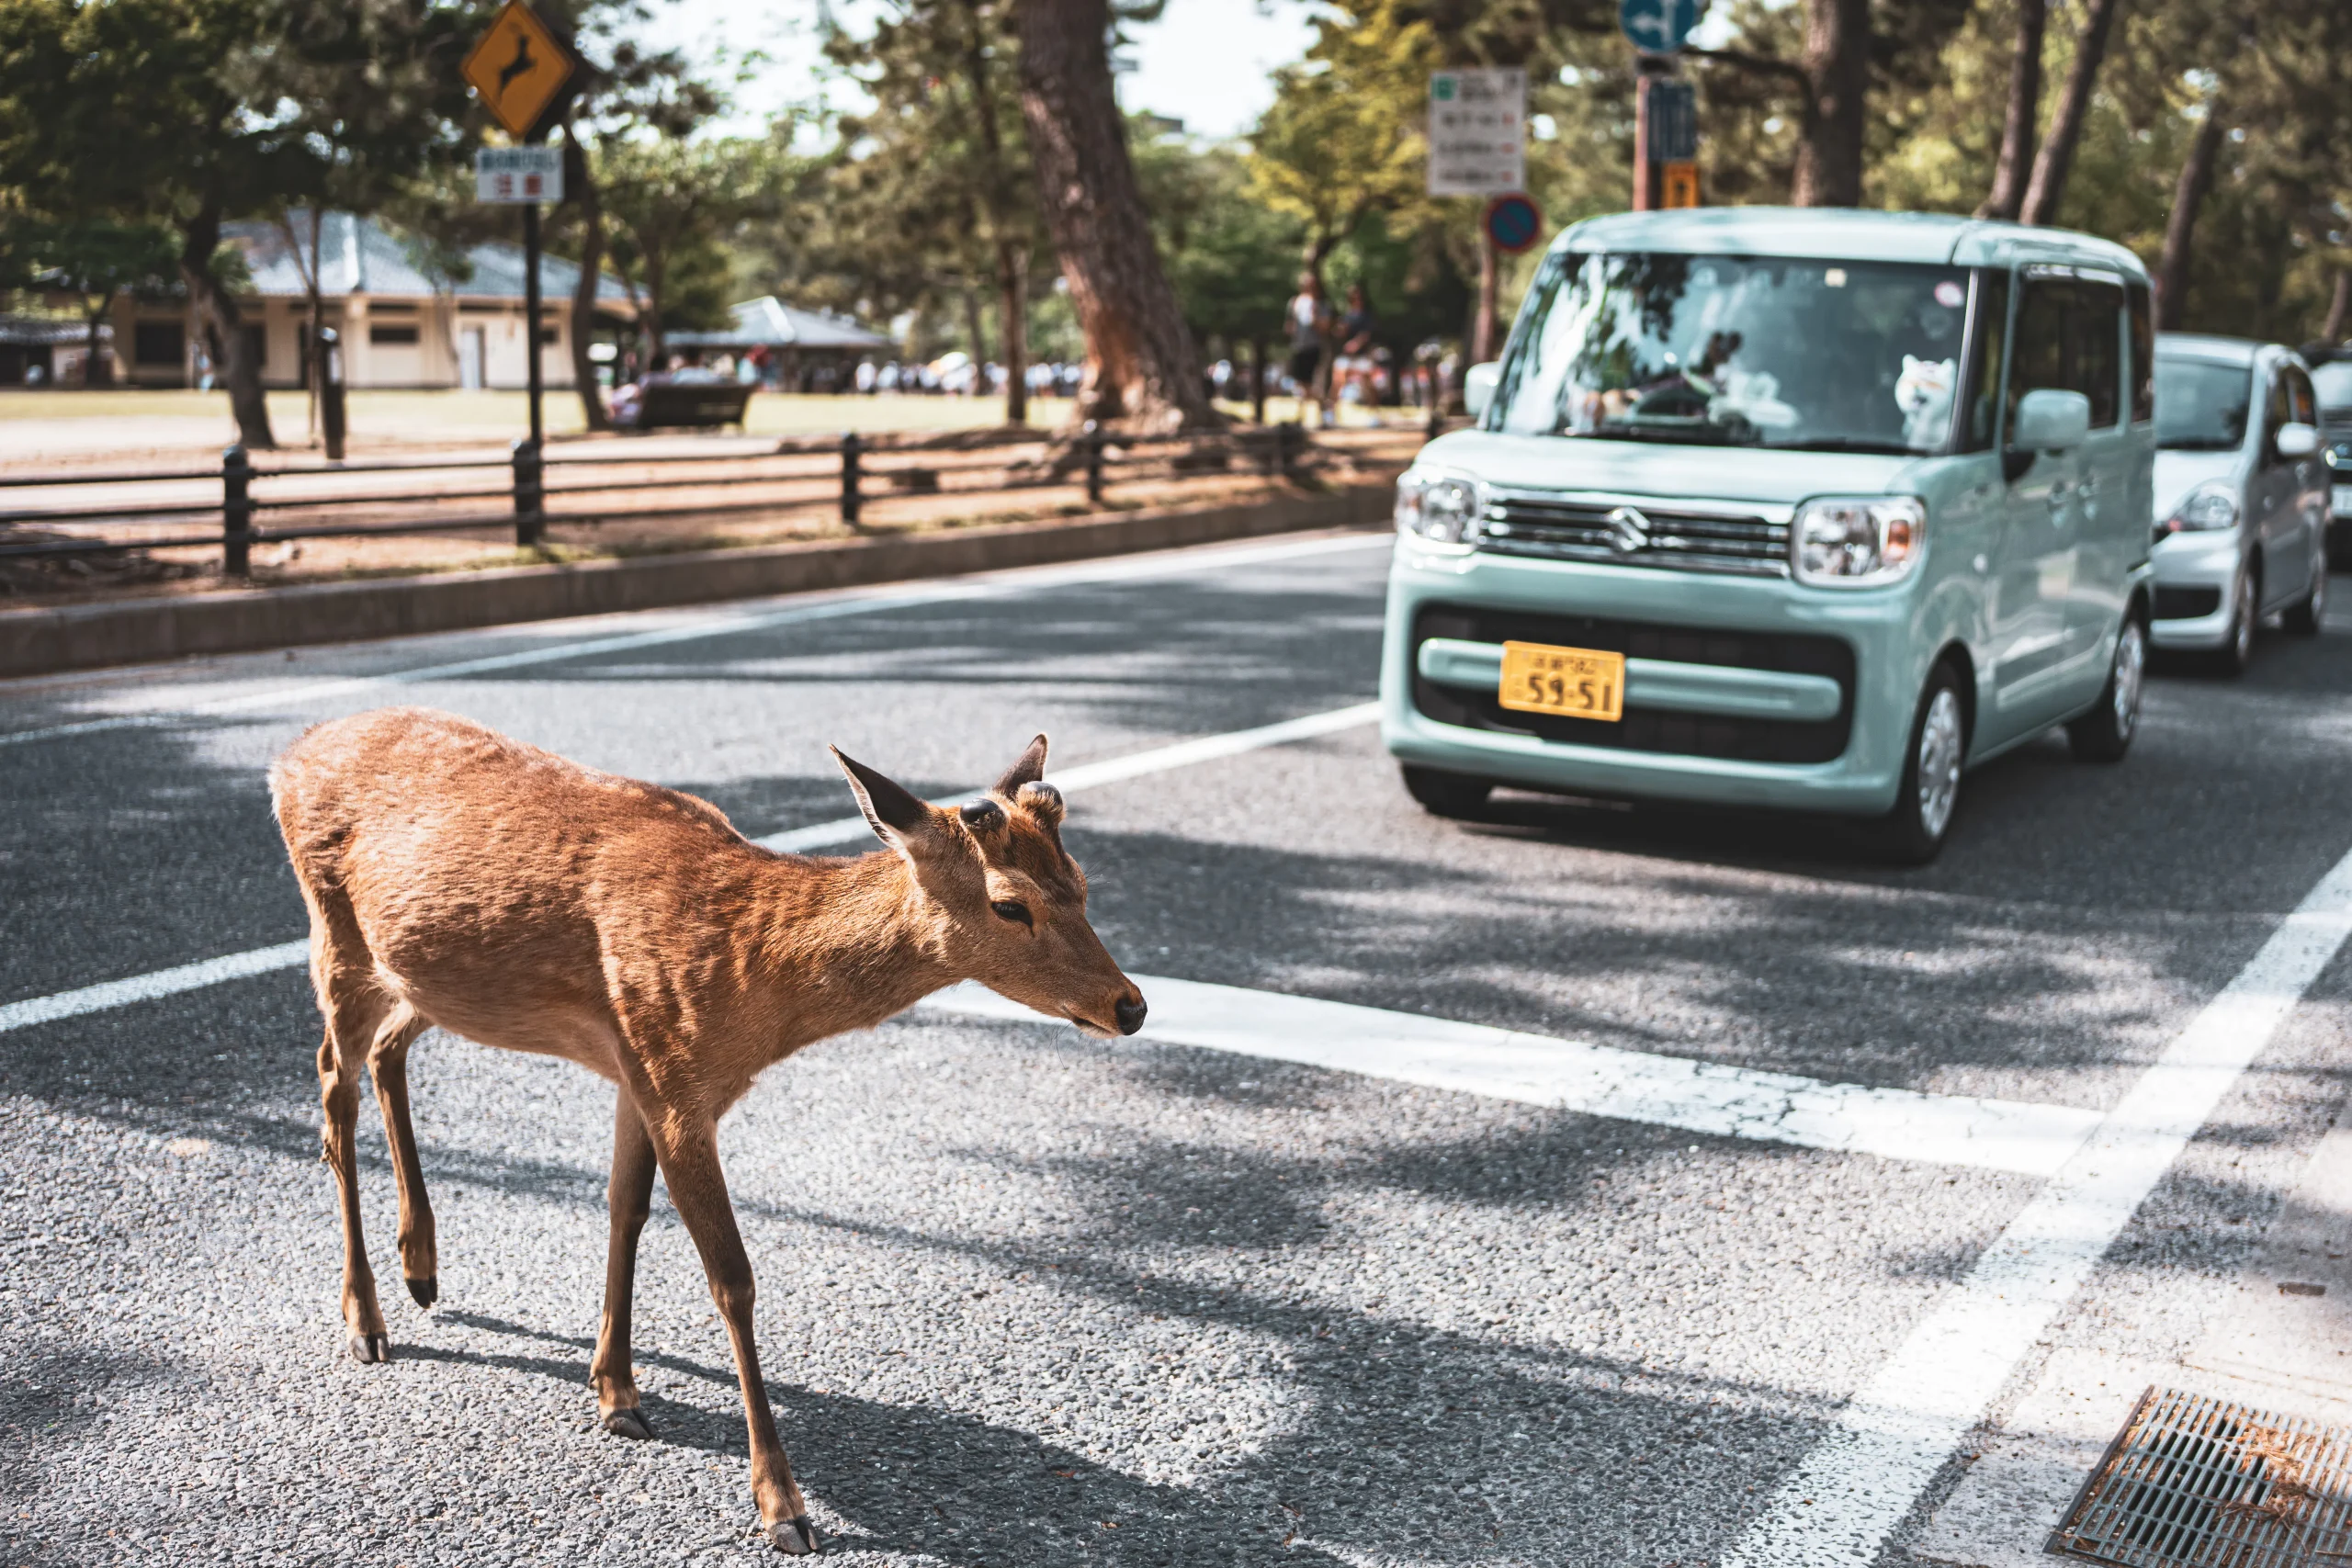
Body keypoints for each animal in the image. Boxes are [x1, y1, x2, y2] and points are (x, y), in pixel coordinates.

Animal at [269, 706, 1147, 1556]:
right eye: (1010, 902)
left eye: (1080, 881)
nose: (1130, 1005)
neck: (750, 984)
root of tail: (288, 755)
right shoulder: (671, 1077)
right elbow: (732, 1277)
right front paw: (782, 1506)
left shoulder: (641, 1071)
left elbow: (624, 1208)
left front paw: (616, 1390)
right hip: (336, 936)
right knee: (332, 1085)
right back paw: (366, 1317)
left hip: (426, 976)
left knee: (389, 1048)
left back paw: (421, 1265)